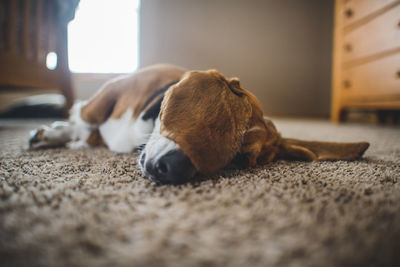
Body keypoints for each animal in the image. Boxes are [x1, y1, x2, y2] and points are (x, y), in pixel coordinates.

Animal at [29, 64, 370, 185]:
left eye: (239, 160)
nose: (173, 171)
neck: (142, 133)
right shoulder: (109, 94)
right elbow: (83, 117)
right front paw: (55, 132)